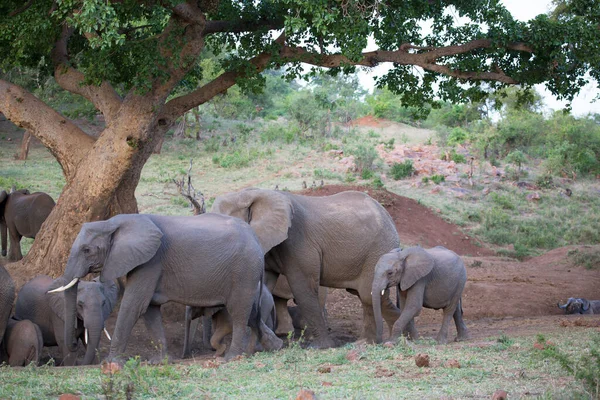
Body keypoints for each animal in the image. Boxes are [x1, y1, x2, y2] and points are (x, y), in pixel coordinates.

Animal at [49, 214, 284, 364]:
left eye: (87, 250)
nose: (73, 344)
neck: (112, 222)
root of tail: (256, 239)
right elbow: (149, 309)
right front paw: (159, 362)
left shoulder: (150, 262)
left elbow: (134, 305)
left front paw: (112, 363)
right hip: (247, 274)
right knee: (252, 313)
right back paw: (276, 346)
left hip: (243, 271)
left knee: (239, 311)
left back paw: (232, 358)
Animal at [213, 188, 400, 346]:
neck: (251, 193)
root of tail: (388, 216)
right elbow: (263, 286)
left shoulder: (299, 241)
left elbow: (302, 288)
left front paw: (321, 347)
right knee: (368, 296)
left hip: (378, 250)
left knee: (368, 295)